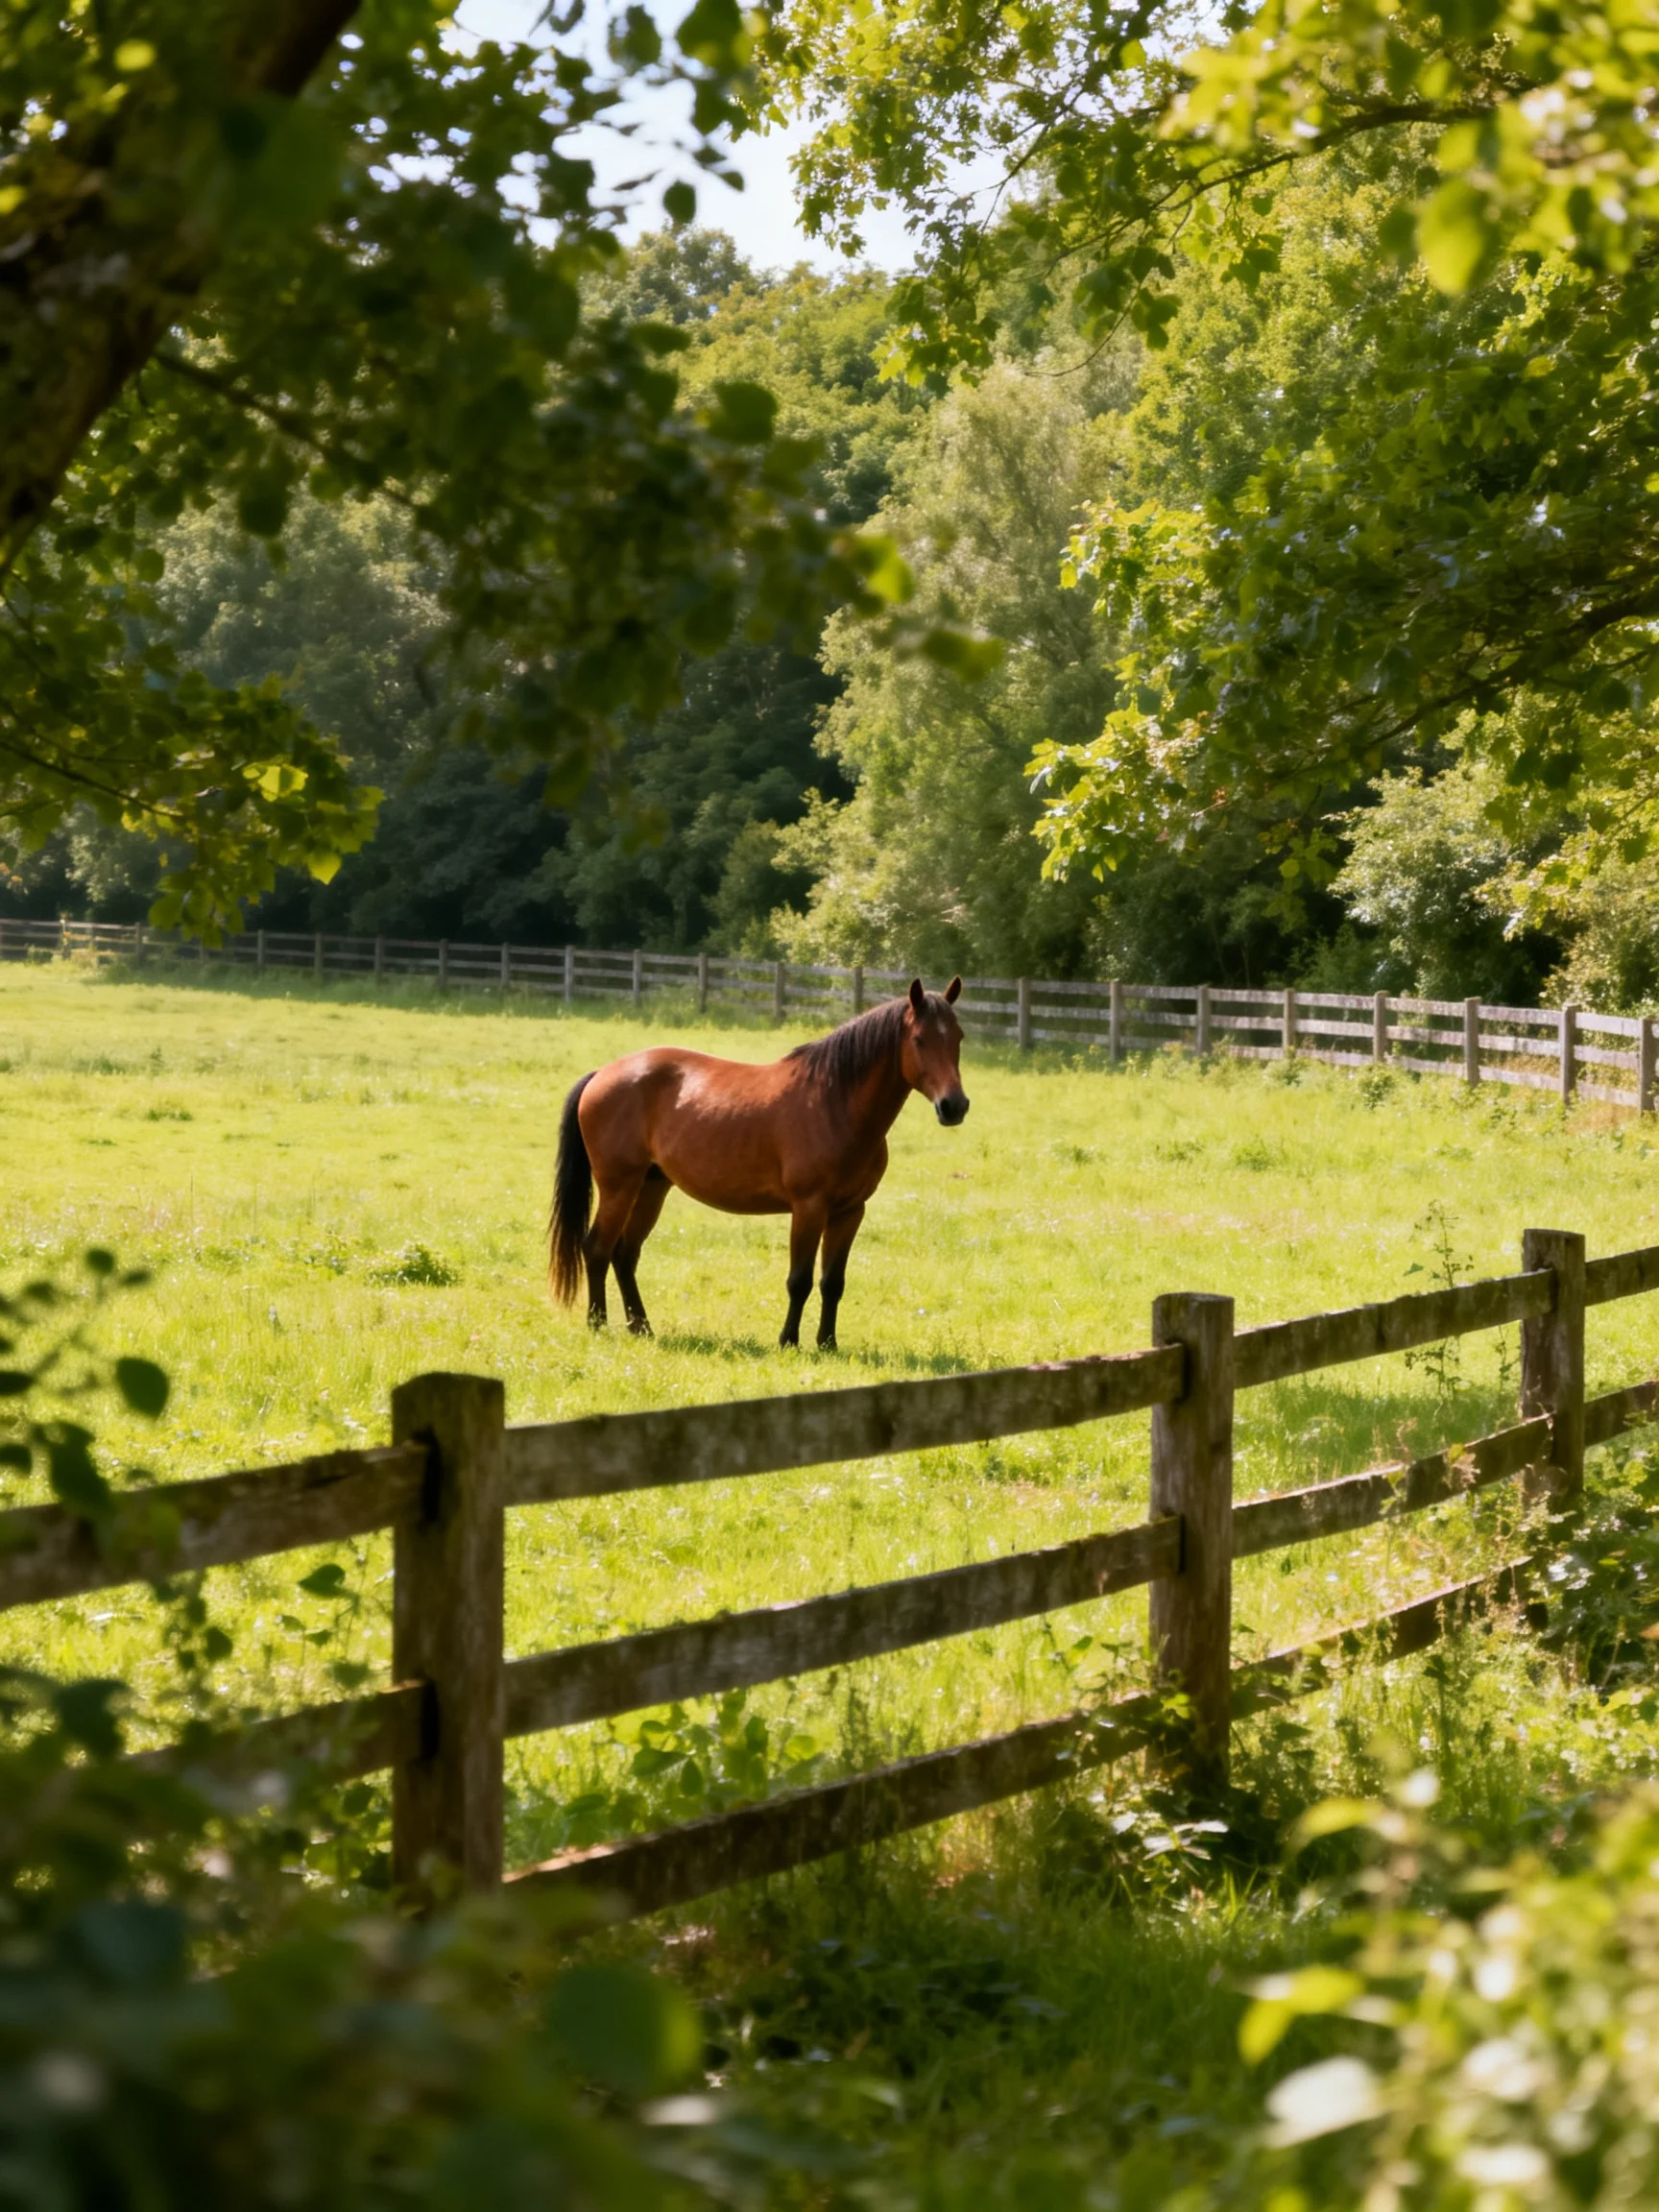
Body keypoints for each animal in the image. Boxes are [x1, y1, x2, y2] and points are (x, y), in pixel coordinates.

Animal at [548, 977, 969, 1349]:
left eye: (958, 1037)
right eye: (919, 1039)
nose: (954, 1106)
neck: (834, 1102)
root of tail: (602, 1074)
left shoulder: (850, 1212)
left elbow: (833, 1282)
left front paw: (828, 1343)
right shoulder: (809, 1207)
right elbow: (799, 1280)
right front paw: (788, 1341)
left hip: (651, 1188)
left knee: (625, 1254)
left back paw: (642, 1328)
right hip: (619, 1187)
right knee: (597, 1248)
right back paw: (598, 1325)